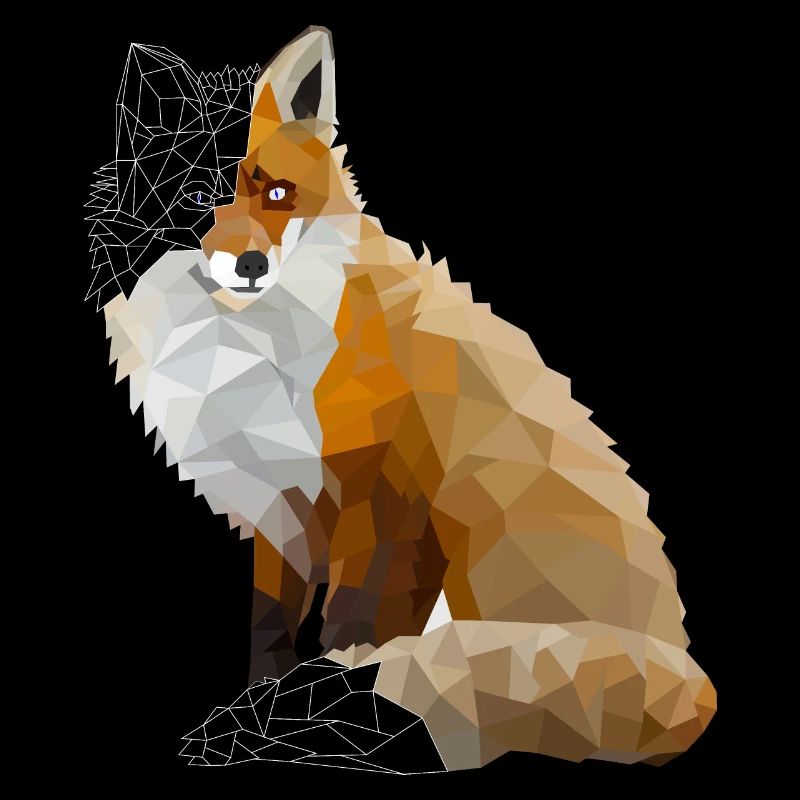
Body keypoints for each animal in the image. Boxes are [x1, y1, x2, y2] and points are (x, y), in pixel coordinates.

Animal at [99, 27, 716, 770]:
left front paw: (283, 718)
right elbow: (270, 631)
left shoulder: (383, 499)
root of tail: (689, 681)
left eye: (278, 193)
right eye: (195, 196)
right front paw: (260, 702)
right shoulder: (279, 506)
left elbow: (346, 635)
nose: (250, 266)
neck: (256, 351)